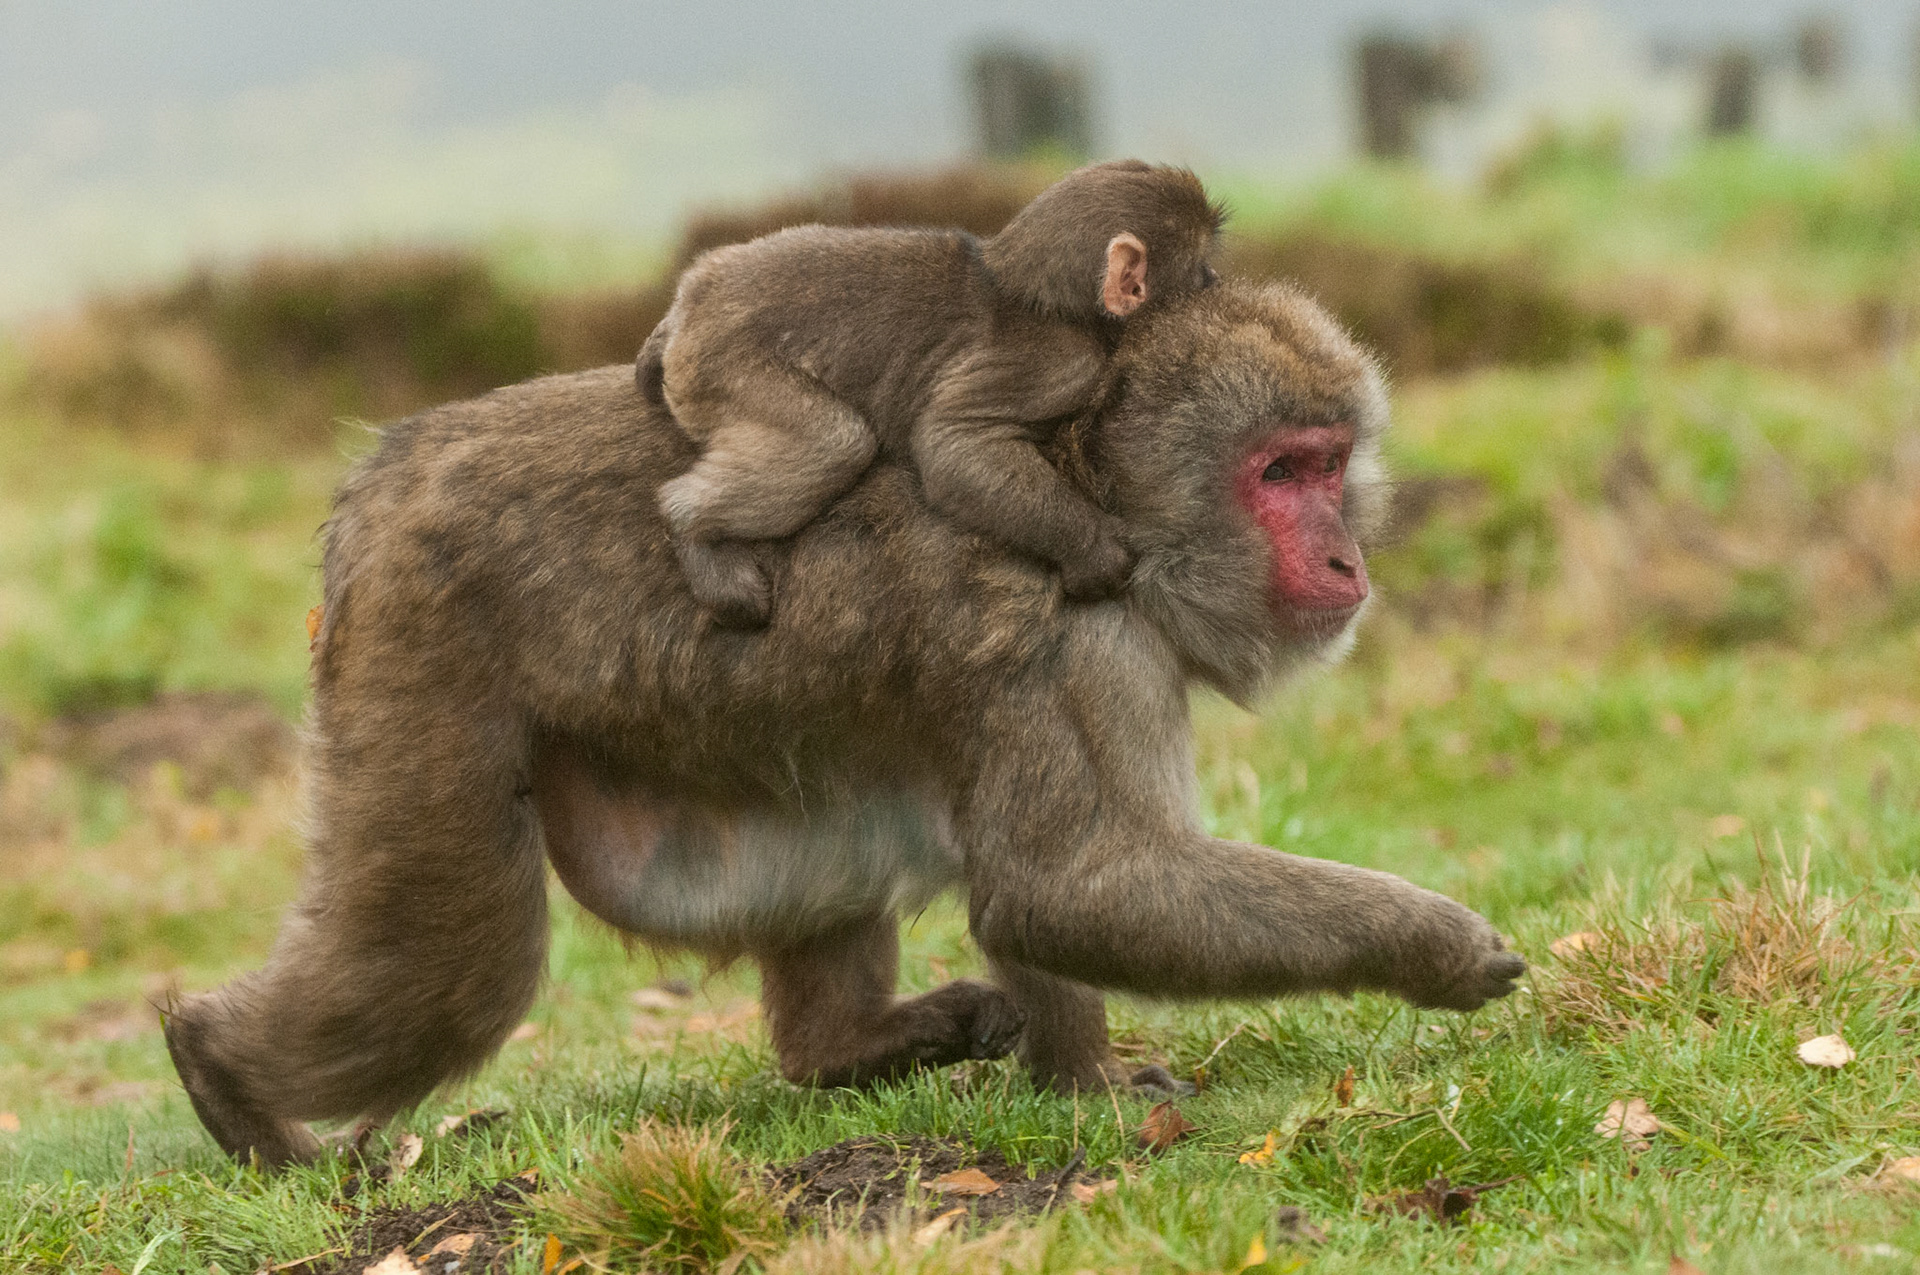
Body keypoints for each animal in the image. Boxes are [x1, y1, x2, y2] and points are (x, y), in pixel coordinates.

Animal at [162, 279, 1525, 1168]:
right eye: (1279, 473)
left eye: (1331, 459)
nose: (1347, 559)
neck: (1088, 492)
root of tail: (381, 476)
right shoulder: (1071, 638)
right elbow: (1071, 883)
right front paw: (1436, 944)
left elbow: (1046, 885)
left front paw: (1077, 1079)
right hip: (421, 651)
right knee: (454, 966)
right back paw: (222, 1075)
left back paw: (844, 1050)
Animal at [637, 159, 1225, 628]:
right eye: (1201, 269)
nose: (1218, 279)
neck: (1045, 302)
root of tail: (690, 299)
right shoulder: (1061, 365)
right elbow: (952, 443)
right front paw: (1093, 548)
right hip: (723, 364)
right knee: (833, 443)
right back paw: (692, 526)